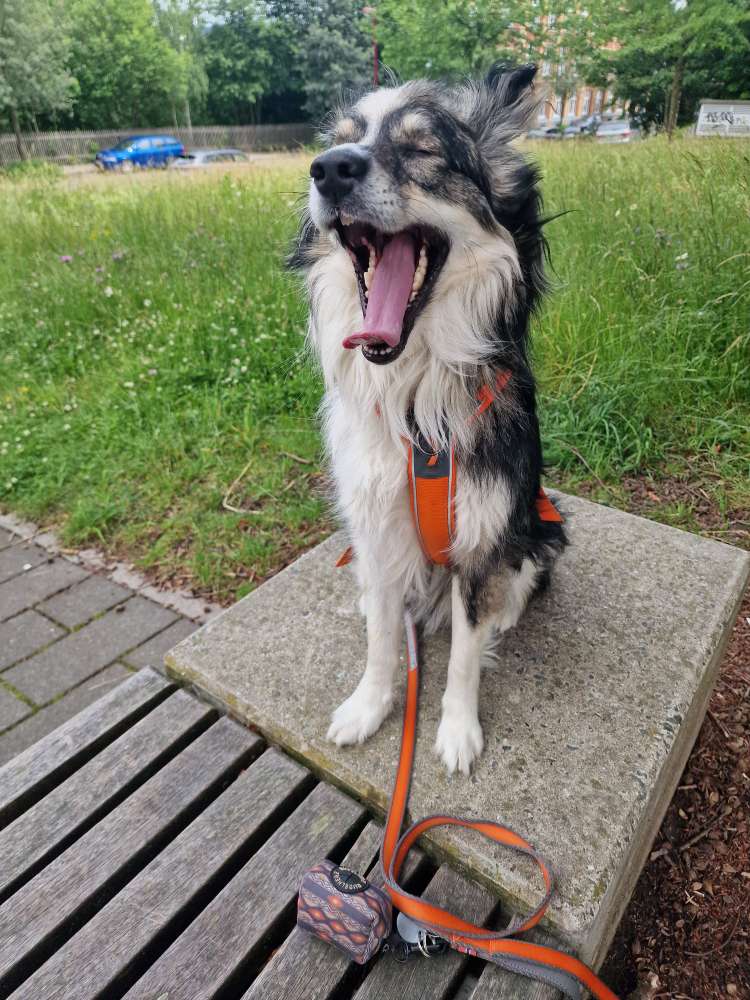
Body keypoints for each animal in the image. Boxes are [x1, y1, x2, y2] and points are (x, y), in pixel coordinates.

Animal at [290, 62, 568, 776]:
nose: (329, 170)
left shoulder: (482, 536)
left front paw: (458, 732)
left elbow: (466, 655)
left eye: (421, 150)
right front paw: (369, 706)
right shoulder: (378, 523)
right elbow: (383, 636)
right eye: (340, 140)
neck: (416, 398)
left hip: (542, 527)